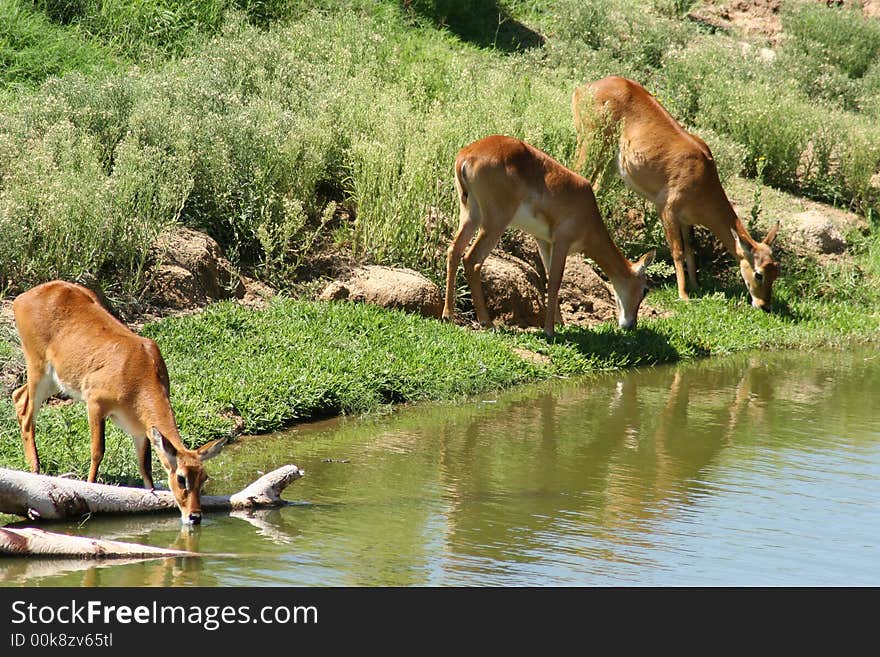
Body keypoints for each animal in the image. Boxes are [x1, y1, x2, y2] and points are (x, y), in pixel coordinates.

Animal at [12, 280, 225, 524]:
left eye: (204, 476)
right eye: (181, 478)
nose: (195, 516)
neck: (137, 373)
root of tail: (22, 298)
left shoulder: (140, 430)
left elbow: (145, 467)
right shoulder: (95, 403)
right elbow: (98, 451)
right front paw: (90, 487)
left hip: (55, 381)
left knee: (18, 397)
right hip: (38, 368)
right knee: (27, 414)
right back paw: (35, 470)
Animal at [446, 135, 652, 336]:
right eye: (645, 290)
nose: (631, 325)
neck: (588, 212)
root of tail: (466, 155)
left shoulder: (544, 241)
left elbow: (546, 276)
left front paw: (559, 322)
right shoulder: (562, 242)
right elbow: (555, 281)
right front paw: (549, 331)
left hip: (470, 215)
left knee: (453, 250)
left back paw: (448, 315)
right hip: (494, 223)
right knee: (472, 260)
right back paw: (487, 323)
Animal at [576, 75, 780, 312]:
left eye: (776, 271)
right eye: (759, 274)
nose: (765, 306)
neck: (703, 177)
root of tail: (585, 88)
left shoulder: (685, 220)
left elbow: (691, 249)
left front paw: (696, 286)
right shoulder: (667, 210)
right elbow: (678, 251)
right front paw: (684, 295)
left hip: (609, 162)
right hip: (591, 145)